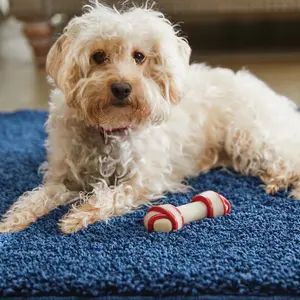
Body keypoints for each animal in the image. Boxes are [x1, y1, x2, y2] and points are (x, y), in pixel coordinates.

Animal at [0, 1, 300, 234]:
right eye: (98, 56)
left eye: (139, 56)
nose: (122, 88)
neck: (109, 130)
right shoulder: (63, 177)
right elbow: (35, 196)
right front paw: (13, 220)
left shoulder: (143, 180)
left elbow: (111, 196)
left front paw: (77, 215)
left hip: (249, 136)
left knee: (288, 159)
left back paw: (280, 182)